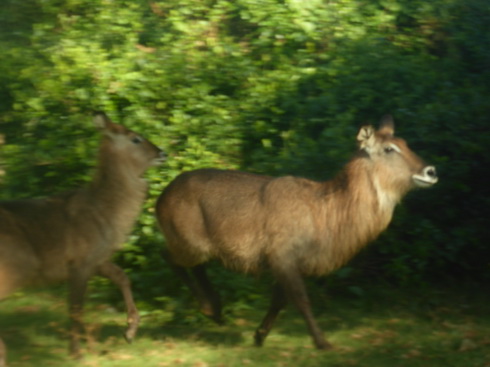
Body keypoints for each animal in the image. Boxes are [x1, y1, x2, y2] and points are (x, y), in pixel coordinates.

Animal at [0, 113, 165, 366]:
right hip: (16, 266)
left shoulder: (96, 259)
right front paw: (76, 353)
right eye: (135, 138)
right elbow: (75, 309)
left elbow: (122, 276)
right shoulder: (78, 261)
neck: (104, 214)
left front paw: (130, 331)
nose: (162, 153)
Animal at [155, 115, 438, 350]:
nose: (431, 171)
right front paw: (322, 342)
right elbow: (300, 299)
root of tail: (161, 197)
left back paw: (215, 309)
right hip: (189, 244)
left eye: (404, 142)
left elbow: (279, 301)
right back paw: (209, 308)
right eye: (389, 148)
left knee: (193, 266)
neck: (327, 214)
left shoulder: (289, 262)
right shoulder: (283, 257)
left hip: (199, 248)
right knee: (169, 258)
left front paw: (259, 336)